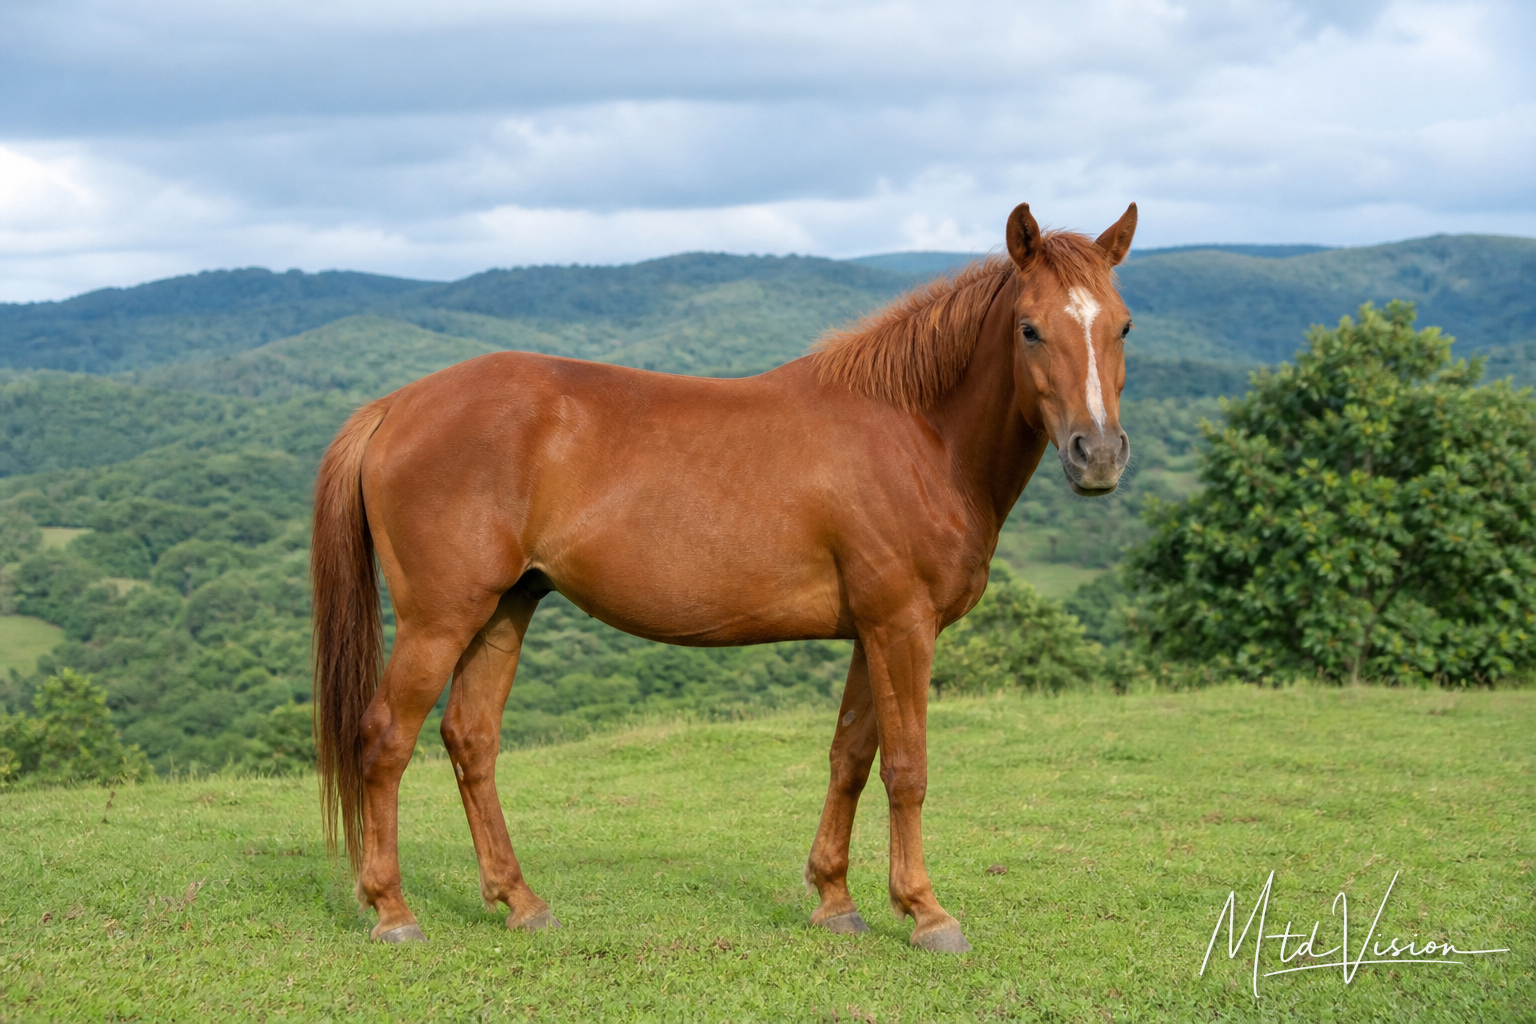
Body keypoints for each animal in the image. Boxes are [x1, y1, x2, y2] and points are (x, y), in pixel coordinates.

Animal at [311, 200, 1138, 952]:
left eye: (1123, 326)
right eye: (1030, 327)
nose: (1097, 455)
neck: (915, 434)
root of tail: (395, 406)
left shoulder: (872, 631)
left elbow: (849, 758)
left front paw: (836, 902)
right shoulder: (903, 626)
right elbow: (907, 768)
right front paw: (927, 913)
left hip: (504, 612)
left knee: (471, 739)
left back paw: (521, 901)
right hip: (440, 620)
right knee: (385, 739)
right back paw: (393, 912)